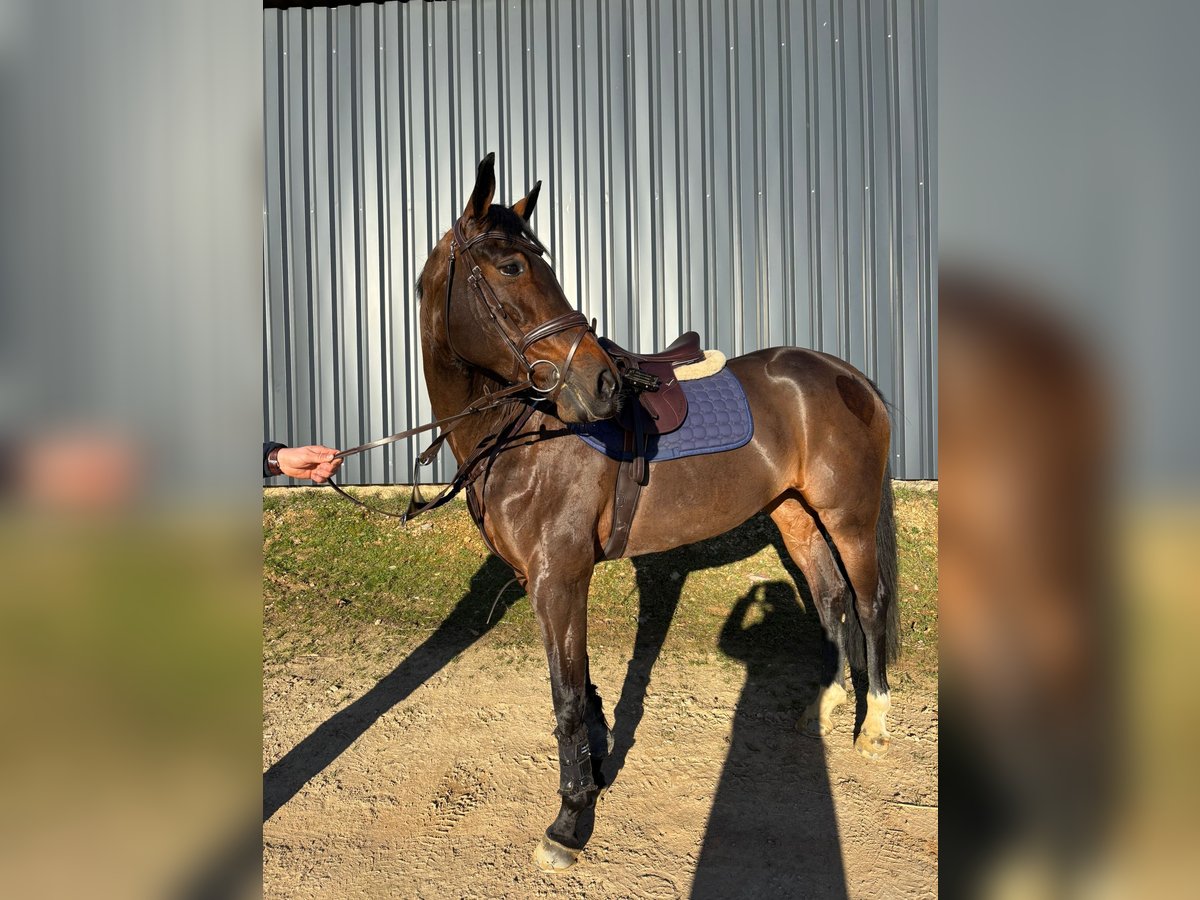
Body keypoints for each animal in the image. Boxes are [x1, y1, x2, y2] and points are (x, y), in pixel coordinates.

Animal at [414, 152, 899, 871]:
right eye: (511, 267)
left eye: (534, 263)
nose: (602, 385)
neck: (524, 431)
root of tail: (848, 376)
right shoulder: (546, 580)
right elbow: (581, 687)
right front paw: (594, 775)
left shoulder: (560, 576)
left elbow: (565, 697)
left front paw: (568, 823)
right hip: (795, 513)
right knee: (831, 596)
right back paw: (830, 704)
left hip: (850, 517)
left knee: (868, 603)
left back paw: (874, 727)